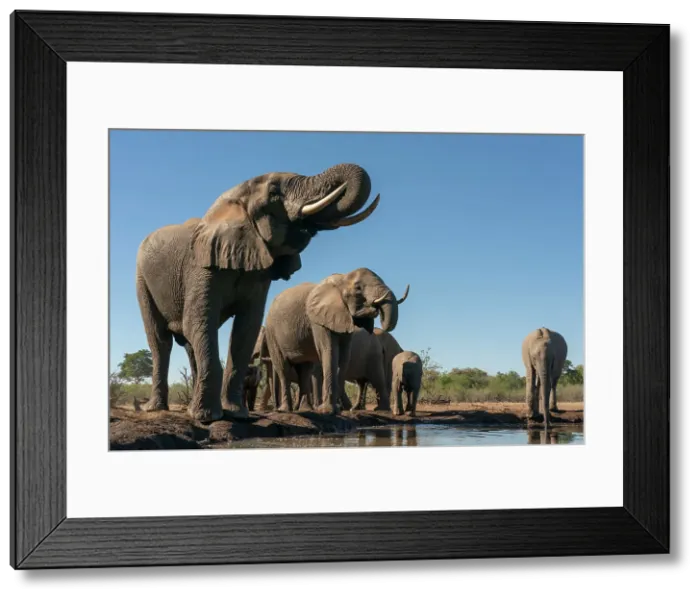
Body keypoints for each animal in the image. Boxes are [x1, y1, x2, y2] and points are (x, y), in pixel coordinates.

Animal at [134, 162, 381, 422]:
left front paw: (236, 414)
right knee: (160, 341)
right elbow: (199, 321)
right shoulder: (200, 266)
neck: (234, 198)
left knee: (190, 345)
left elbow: (247, 328)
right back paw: (157, 408)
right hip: (142, 279)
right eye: (273, 192)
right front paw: (207, 417)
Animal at [262, 268, 409, 415]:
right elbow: (329, 351)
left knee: (305, 369)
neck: (341, 279)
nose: (376, 310)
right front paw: (328, 410)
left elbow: (343, 356)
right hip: (272, 333)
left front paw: (333, 409)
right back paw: (285, 410)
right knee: (283, 368)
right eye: (358, 288)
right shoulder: (317, 320)